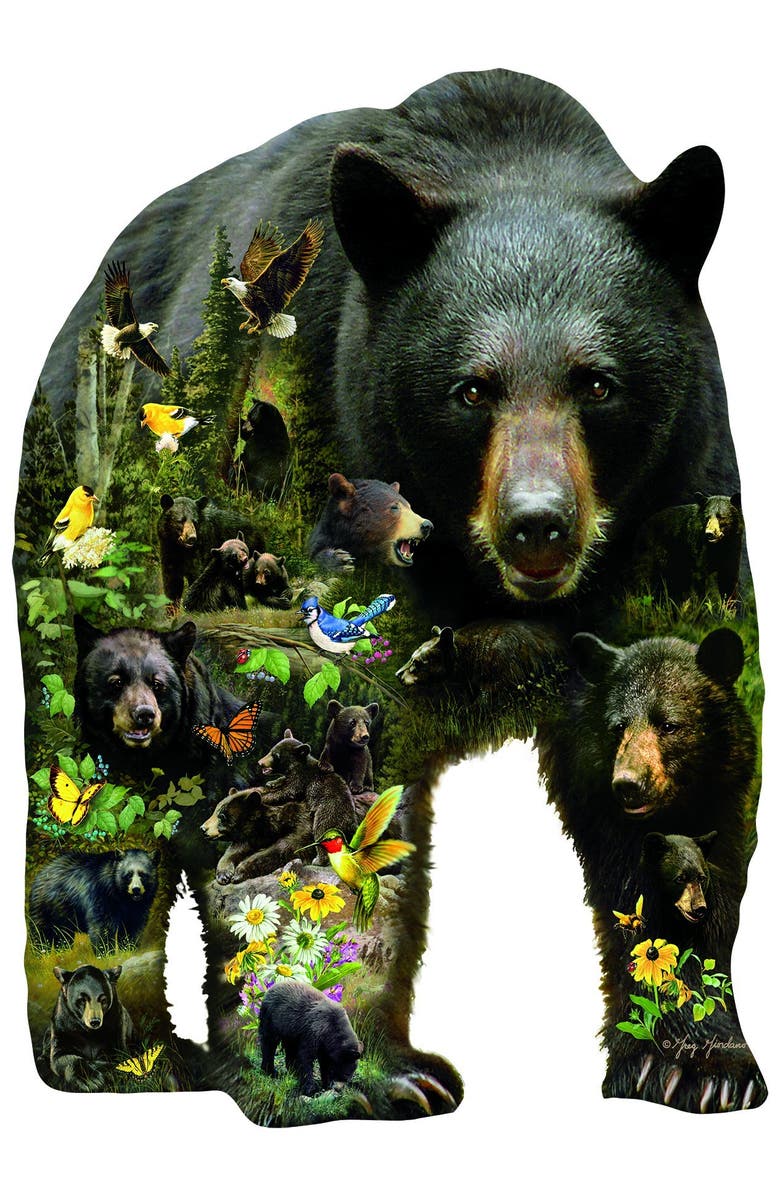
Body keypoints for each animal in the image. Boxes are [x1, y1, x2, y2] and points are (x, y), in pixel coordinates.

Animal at [28, 849, 158, 953]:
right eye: (128, 875)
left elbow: (134, 926)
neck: (122, 897)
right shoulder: (100, 896)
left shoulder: (138, 907)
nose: (136, 889)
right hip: (44, 906)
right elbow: (102, 927)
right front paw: (105, 953)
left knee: (63, 935)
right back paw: (42, 953)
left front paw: (129, 949)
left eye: (143, 874)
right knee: (41, 933)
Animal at [257, 729, 358, 865]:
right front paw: (272, 782)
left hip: (327, 814)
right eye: (271, 750)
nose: (260, 763)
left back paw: (318, 860)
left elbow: (288, 791)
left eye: (276, 755)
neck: (297, 765)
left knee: (321, 831)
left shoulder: (302, 778)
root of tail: (350, 824)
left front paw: (264, 796)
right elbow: (284, 782)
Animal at [536, 627, 765, 1110]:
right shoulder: (609, 839)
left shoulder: (723, 826)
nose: (628, 784)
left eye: (669, 724)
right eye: (617, 726)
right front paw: (675, 1067)